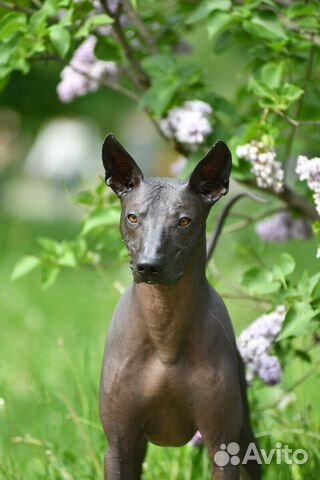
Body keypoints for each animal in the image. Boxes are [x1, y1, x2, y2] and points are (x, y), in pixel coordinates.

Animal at [100, 135, 262, 480]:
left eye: (184, 221)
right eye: (132, 217)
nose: (149, 265)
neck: (165, 334)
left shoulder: (221, 444)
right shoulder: (118, 446)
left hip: (245, 438)